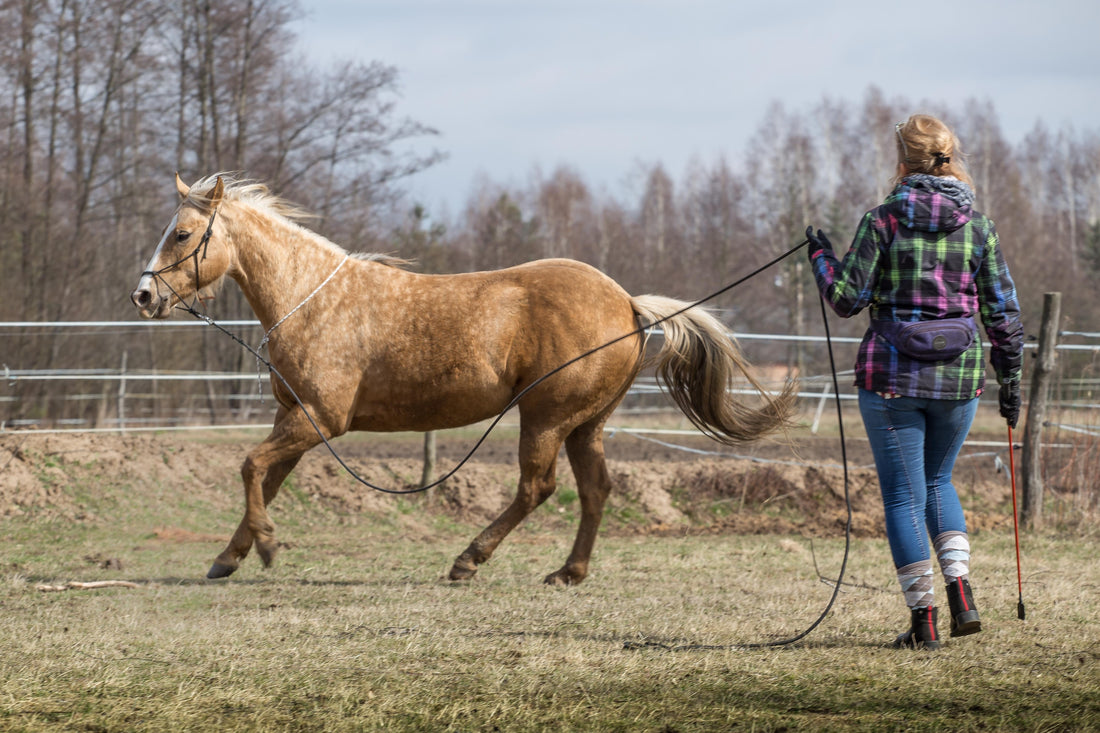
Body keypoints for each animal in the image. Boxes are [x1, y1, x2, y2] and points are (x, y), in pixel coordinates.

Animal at [130, 173, 796, 585]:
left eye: (182, 234)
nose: (142, 296)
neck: (312, 300)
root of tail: (627, 303)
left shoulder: (319, 420)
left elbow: (250, 468)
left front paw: (265, 547)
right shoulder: (292, 418)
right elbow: (264, 482)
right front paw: (230, 557)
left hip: (545, 418)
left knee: (537, 488)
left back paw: (469, 560)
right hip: (587, 425)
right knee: (595, 491)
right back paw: (568, 572)